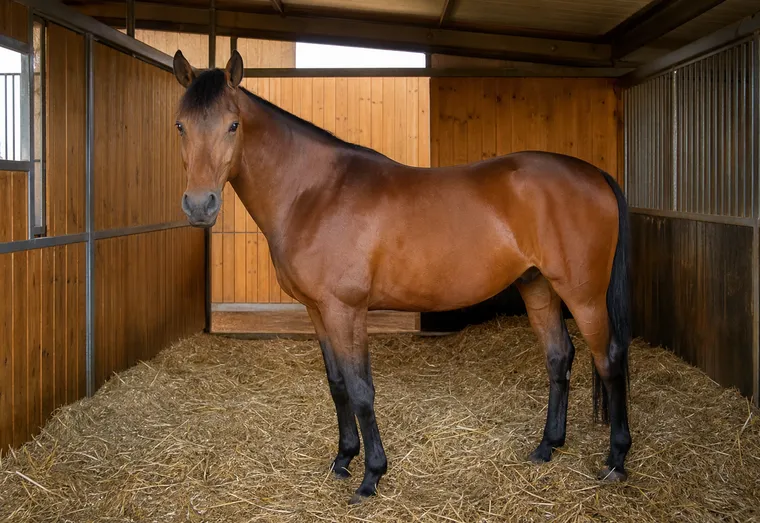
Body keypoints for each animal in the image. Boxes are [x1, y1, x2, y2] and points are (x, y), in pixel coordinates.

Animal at [171, 50, 633, 505]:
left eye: (233, 125)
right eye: (180, 125)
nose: (199, 205)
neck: (315, 193)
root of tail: (595, 175)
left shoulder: (346, 310)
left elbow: (360, 389)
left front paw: (371, 476)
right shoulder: (318, 311)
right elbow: (337, 384)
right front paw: (343, 459)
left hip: (583, 295)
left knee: (609, 359)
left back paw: (615, 460)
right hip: (538, 286)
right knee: (559, 356)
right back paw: (547, 446)